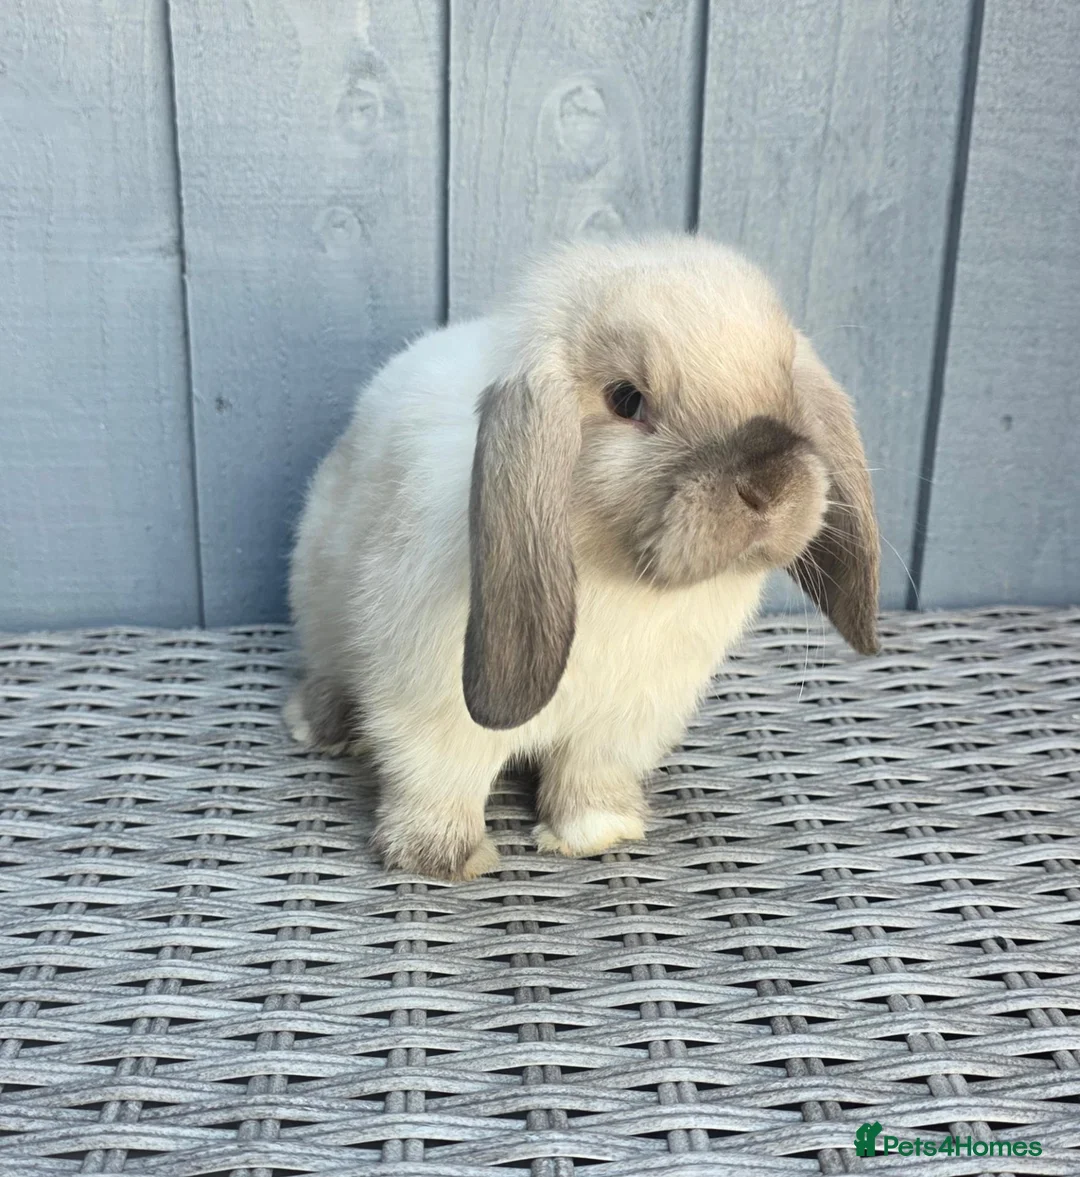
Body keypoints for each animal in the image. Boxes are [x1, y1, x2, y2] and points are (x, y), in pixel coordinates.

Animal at [286, 234, 879, 881]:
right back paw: (321, 728)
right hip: (318, 603)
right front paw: (436, 859)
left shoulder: (623, 722)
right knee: (327, 670)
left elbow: (587, 775)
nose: (768, 485)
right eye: (626, 399)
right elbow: (440, 777)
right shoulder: (431, 706)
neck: (620, 577)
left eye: (784, 384)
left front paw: (597, 835)